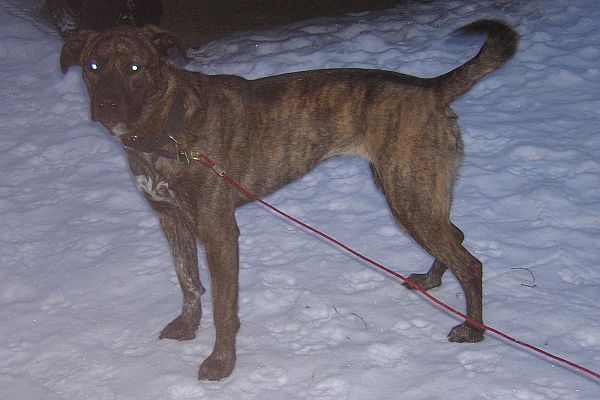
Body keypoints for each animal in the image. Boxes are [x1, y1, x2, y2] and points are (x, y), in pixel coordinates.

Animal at [62, 19, 520, 382]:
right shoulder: (171, 220)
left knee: (470, 262)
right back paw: (431, 280)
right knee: (456, 236)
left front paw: (221, 363)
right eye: (92, 66)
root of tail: (430, 88)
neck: (168, 127)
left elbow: (224, 307)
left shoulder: (218, 231)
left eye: (134, 67)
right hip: (416, 194)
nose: (106, 105)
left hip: (409, 197)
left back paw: (474, 329)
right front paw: (188, 327)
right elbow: (188, 282)